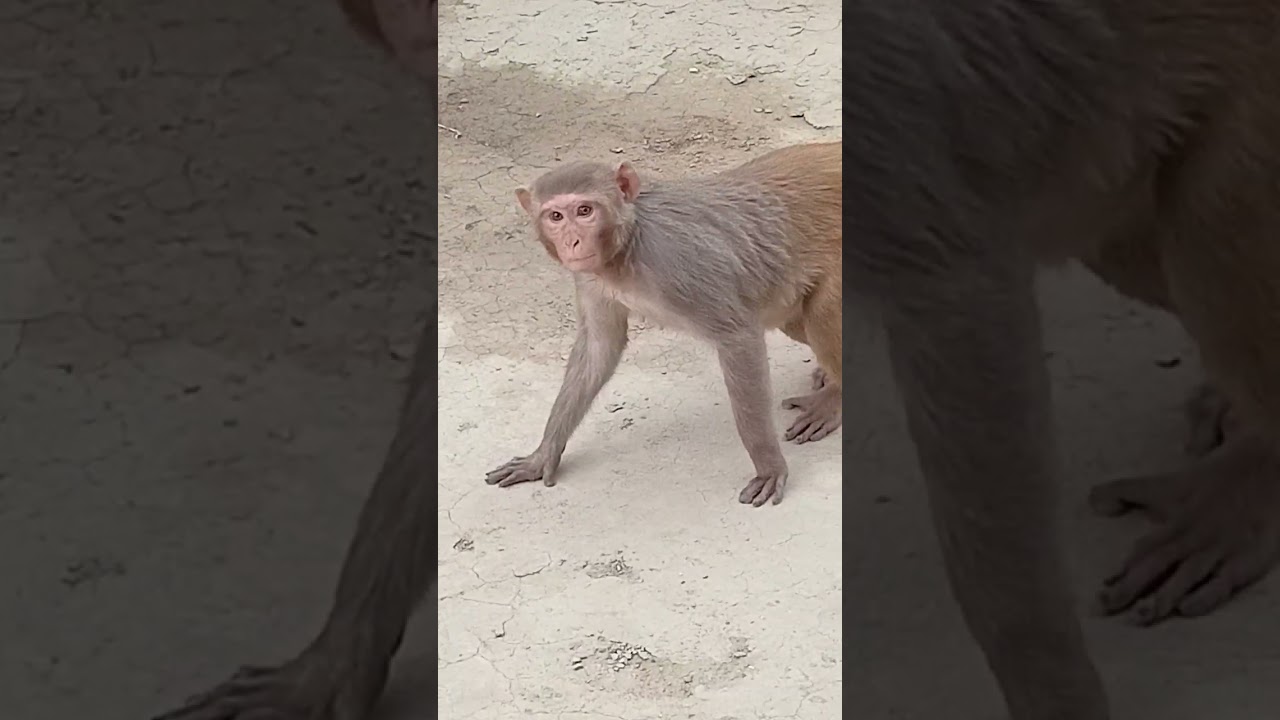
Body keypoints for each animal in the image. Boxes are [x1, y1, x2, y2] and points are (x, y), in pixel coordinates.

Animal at [484, 143, 843, 507]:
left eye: (584, 210)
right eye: (555, 216)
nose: (572, 242)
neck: (628, 246)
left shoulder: (678, 261)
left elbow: (738, 336)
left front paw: (769, 465)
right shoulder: (589, 278)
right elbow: (599, 347)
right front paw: (542, 455)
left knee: (821, 314)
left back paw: (835, 398)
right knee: (797, 319)